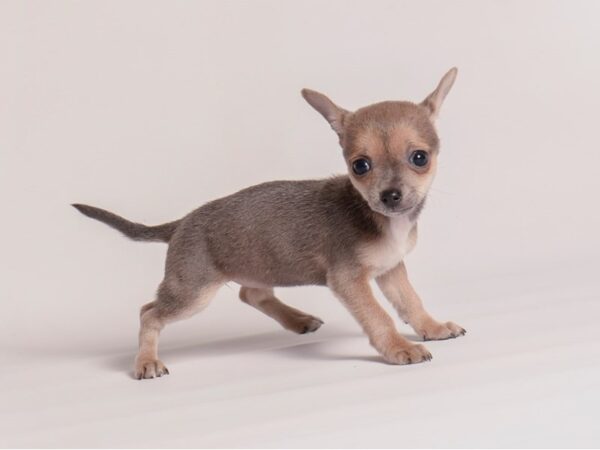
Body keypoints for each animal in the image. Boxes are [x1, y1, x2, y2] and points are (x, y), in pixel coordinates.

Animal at [74, 68, 464, 380]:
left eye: (420, 158)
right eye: (360, 166)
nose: (390, 195)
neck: (382, 221)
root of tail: (182, 222)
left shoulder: (391, 269)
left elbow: (410, 302)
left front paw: (432, 327)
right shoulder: (350, 280)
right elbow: (379, 316)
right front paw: (399, 348)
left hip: (255, 267)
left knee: (251, 293)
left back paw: (297, 319)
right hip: (193, 291)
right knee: (149, 313)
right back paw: (146, 361)